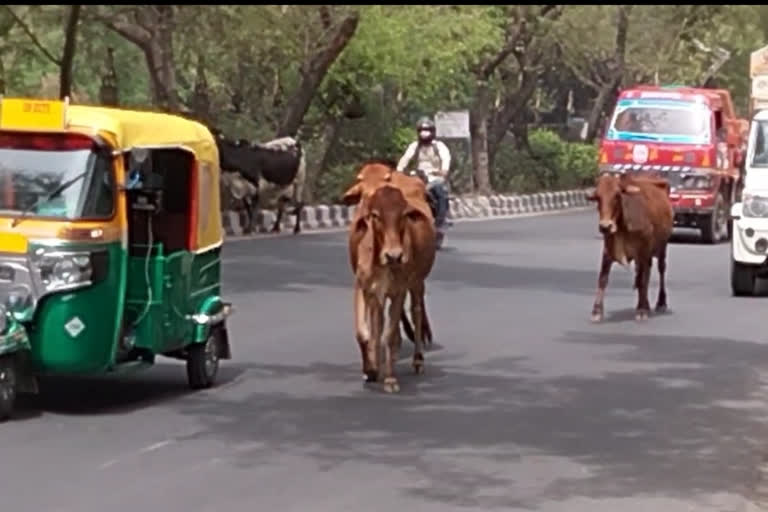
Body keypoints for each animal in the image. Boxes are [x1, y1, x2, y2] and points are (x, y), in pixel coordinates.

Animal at [344, 160, 436, 392]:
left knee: (416, 311)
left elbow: (389, 334)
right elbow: (365, 332)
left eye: (403, 214)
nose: (394, 255)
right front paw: (370, 369)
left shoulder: (399, 290)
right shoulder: (363, 287)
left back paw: (417, 359)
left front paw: (390, 378)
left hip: (417, 282)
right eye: (375, 214)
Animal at [588, 173, 672, 324]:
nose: (605, 226)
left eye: (617, 195)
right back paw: (647, 304)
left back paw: (660, 303)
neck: (622, 226)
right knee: (646, 273)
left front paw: (641, 310)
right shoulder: (608, 251)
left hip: (662, 246)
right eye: (597, 197)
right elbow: (602, 279)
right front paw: (596, 311)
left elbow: (641, 280)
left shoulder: (643, 250)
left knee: (660, 269)